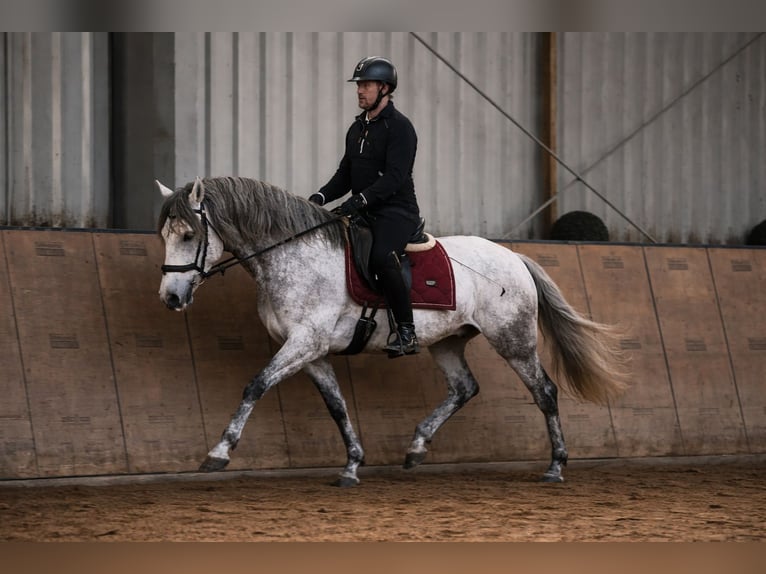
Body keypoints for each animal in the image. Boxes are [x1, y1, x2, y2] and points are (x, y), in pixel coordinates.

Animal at [156, 176, 629, 486]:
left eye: (188, 235)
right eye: (164, 235)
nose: (171, 298)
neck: (294, 254)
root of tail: (514, 257)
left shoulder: (304, 343)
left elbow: (254, 385)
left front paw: (218, 453)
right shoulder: (312, 352)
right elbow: (337, 407)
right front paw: (351, 465)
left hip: (513, 340)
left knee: (544, 392)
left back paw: (555, 466)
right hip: (447, 342)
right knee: (464, 388)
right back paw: (416, 448)